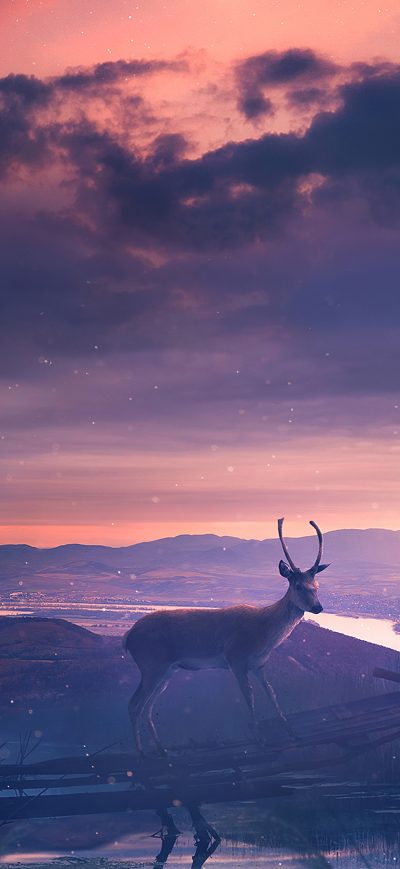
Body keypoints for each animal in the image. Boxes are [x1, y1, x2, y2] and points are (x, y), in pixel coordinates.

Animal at [123, 518, 330, 755]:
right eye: (298, 585)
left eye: (317, 586)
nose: (318, 607)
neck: (264, 635)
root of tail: (128, 637)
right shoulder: (236, 659)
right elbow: (249, 698)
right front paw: (261, 740)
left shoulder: (259, 665)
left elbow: (271, 694)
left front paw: (293, 734)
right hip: (151, 665)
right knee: (134, 704)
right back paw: (141, 754)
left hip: (168, 671)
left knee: (148, 706)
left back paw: (163, 750)